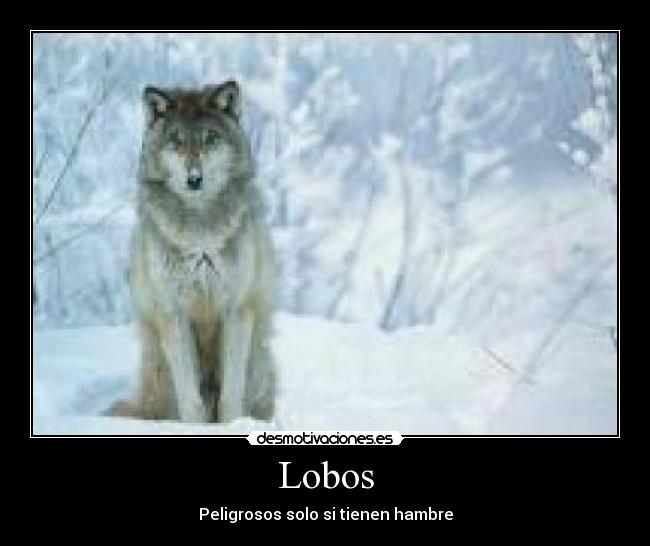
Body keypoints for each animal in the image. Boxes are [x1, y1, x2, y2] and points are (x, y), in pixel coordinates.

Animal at [109, 81, 276, 423]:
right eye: (177, 142)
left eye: (209, 139)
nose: (194, 179)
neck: (200, 236)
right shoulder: (173, 313)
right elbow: (190, 399)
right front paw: (194, 427)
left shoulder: (236, 309)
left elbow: (230, 395)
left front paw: (233, 425)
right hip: (160, 366)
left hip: (257, 362)